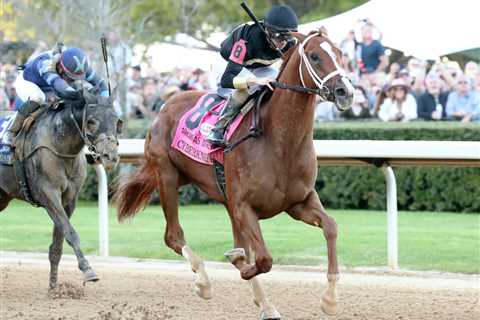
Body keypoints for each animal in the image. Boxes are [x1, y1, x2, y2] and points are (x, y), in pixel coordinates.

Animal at [0, 91, 122, 288]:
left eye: (117, 121)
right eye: (91, 121)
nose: (110, 156)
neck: (60, 144)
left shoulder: (69, 199)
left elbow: (58, 243)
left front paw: (54, 287)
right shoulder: (48, 194)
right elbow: (70, 233)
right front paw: (88, 270)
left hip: (2, 196)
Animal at [116, 31, 354, 318]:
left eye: (340, 53)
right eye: (315, 56)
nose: (345, 92)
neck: (280, 141)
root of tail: (165, 105)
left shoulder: (299, 202)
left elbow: (330, 227)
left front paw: (330, 299)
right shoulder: (244, 206)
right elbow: (263, 259)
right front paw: (238, 265)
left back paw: (262, 300)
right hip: (167, 176)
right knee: (173, 236)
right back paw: (204, 282)